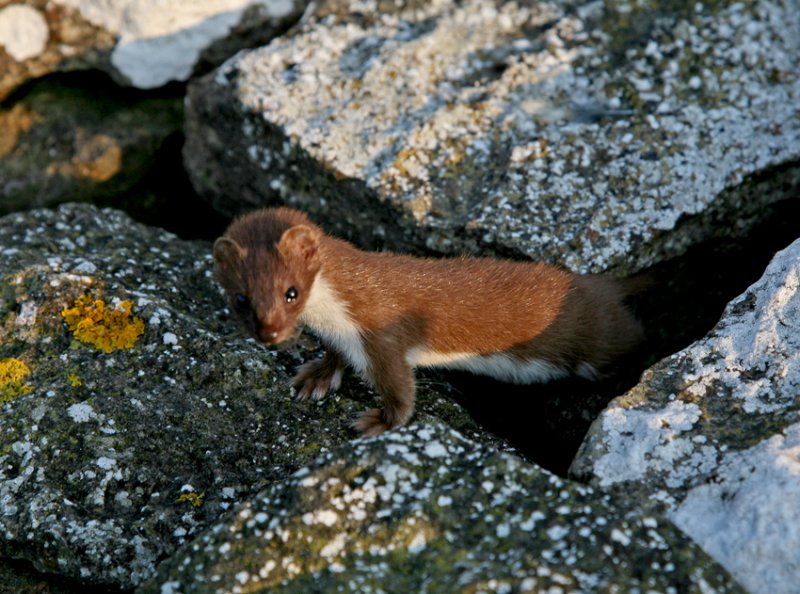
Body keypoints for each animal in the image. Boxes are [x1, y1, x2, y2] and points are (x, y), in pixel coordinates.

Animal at [212, 208, 644, 434]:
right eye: (240, 298)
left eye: (291, 291)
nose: (270, 333)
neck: (335, 313)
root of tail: (603, 284)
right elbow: (335, 355)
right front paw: (316, 376)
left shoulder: (380, 335)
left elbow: (400, 388)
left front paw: (378, 423)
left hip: (601, 341)